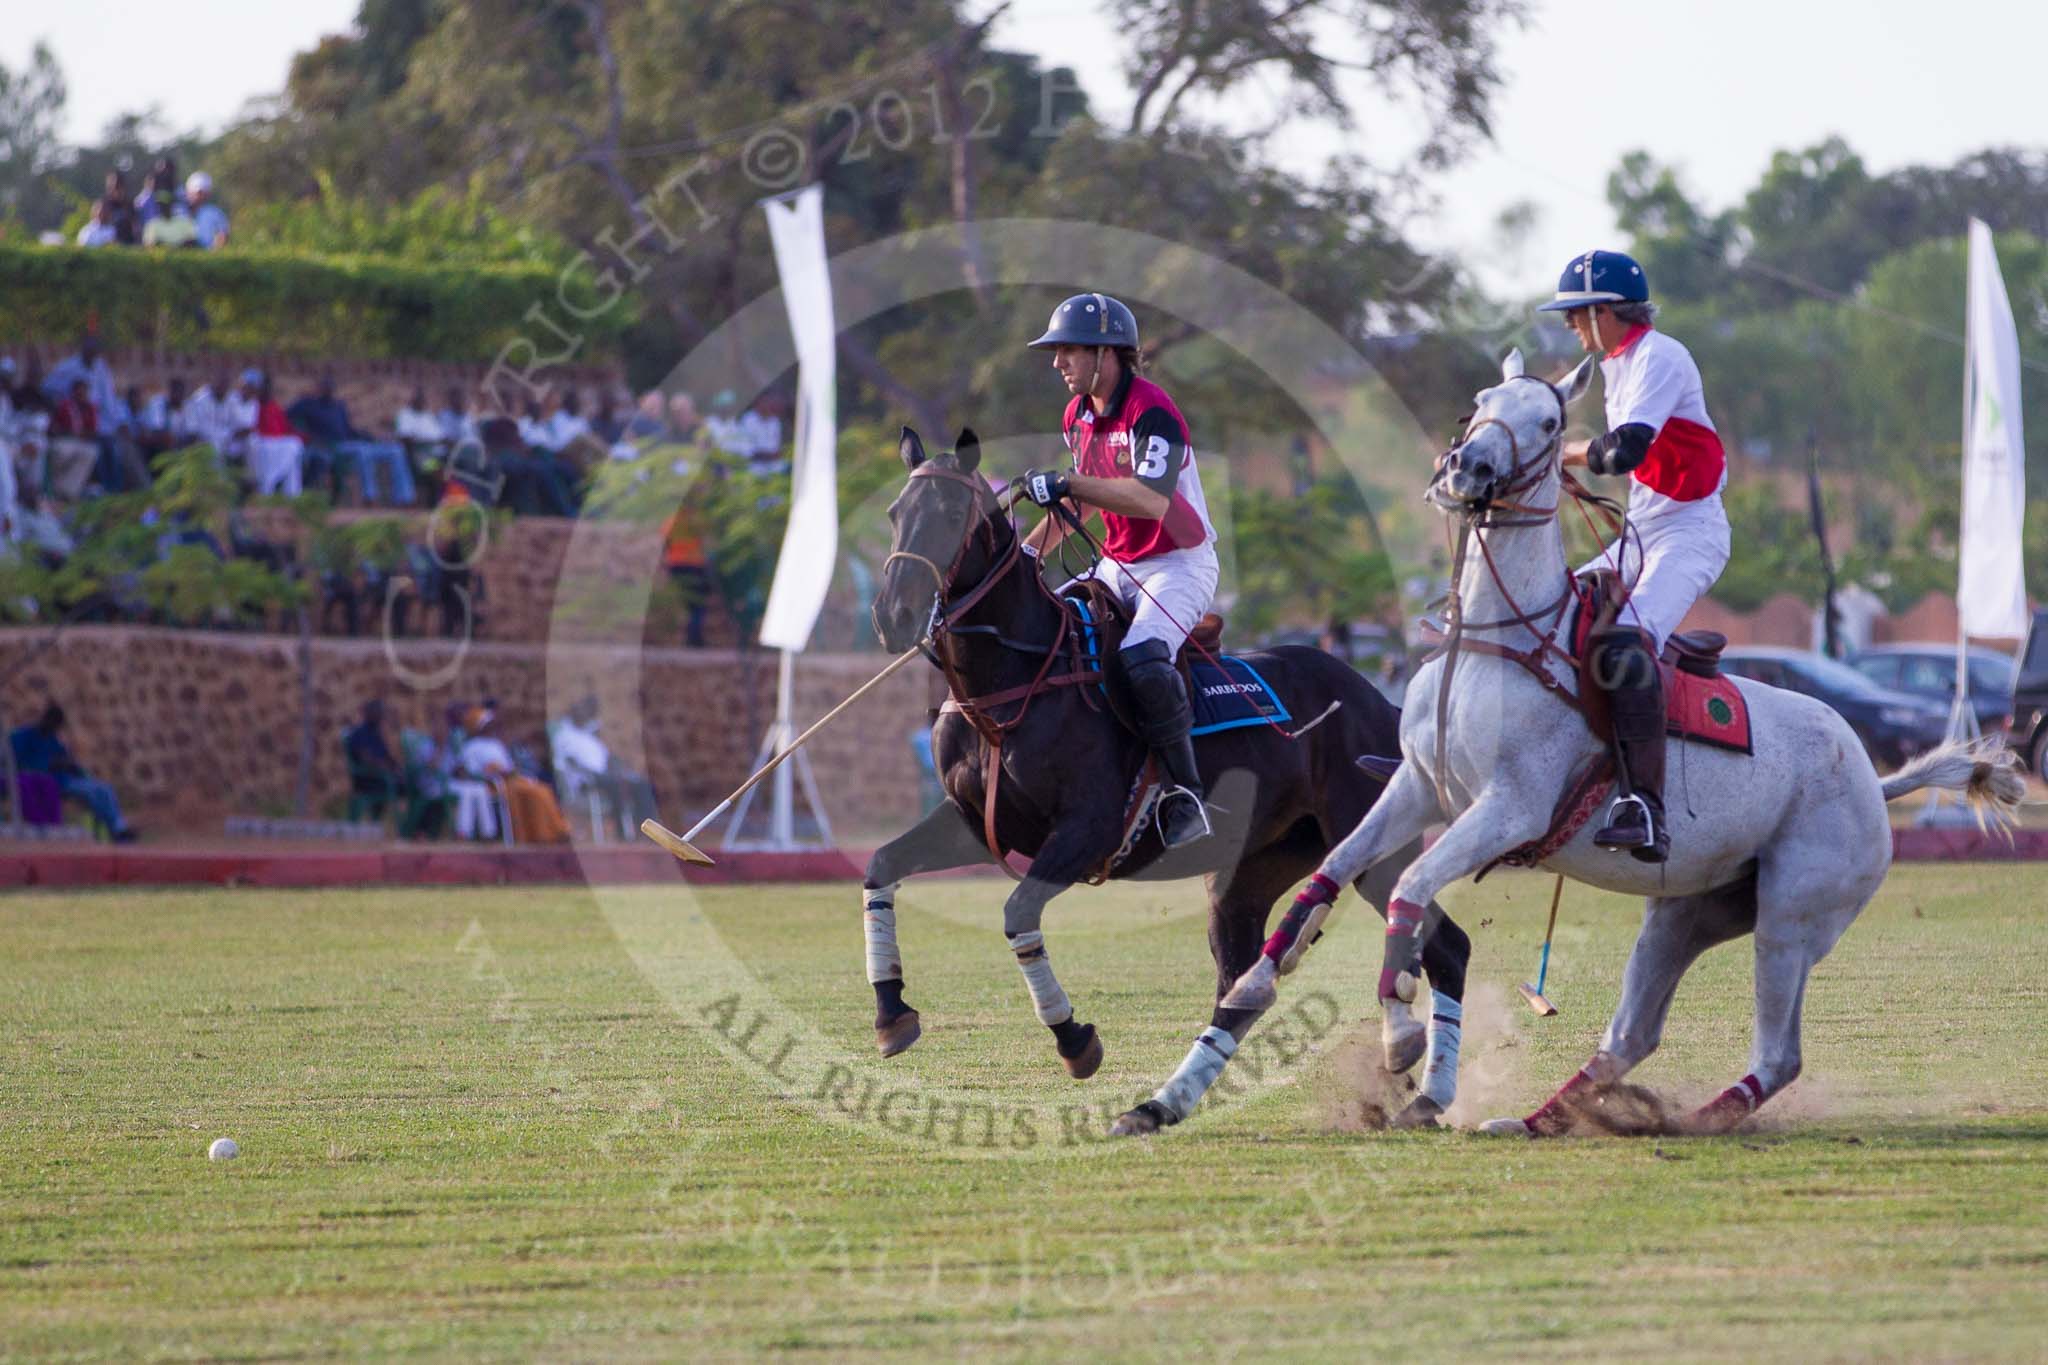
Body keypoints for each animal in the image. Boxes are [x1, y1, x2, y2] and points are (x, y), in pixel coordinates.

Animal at [864, 431, 1474, 1137]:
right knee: (1241, 988)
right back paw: (1159, 1105)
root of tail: (1385, 703)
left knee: (1447, 947)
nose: (893, 614)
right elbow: (882, 866)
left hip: (1372, 846)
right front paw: (891, 1015)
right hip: (1249, 874)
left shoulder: (1086, 827)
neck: (1011, 682)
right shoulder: (973, 821)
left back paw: (1426, 1091)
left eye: (949, 514)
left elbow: (1017, 914)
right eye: (894, 513)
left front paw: (1075, 1041)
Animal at [1212, 347, 2015, 1137]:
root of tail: (1875, 786)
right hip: (1686, 911)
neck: (1495, 638)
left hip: (1794, 914)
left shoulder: (1509, 807)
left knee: (1779, 1052)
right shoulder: (1417, 784)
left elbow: (1409, 885)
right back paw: (1539, 1120)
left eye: (1548, 421)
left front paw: (1400, 1035)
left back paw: (1695, 1121)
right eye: (1479, 403)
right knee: (1634, 1032)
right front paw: (1254, 981)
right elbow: (1335, 866)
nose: (1464, 470)